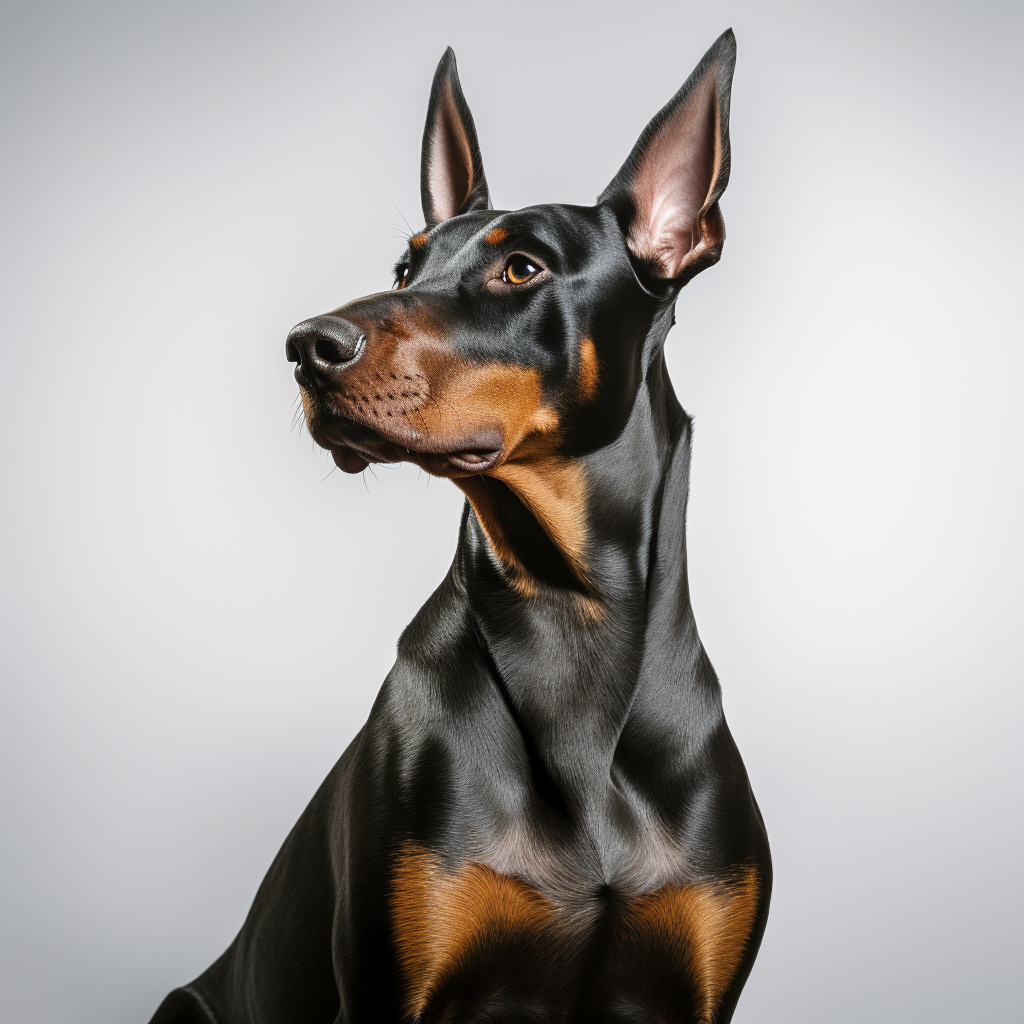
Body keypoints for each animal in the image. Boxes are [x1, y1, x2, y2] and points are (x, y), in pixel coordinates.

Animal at [149, 28, 770, 1019]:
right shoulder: (391, 984)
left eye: (522, 268)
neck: (570, 619)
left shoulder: (702, 989)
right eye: (406, 269)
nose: (306, 346)